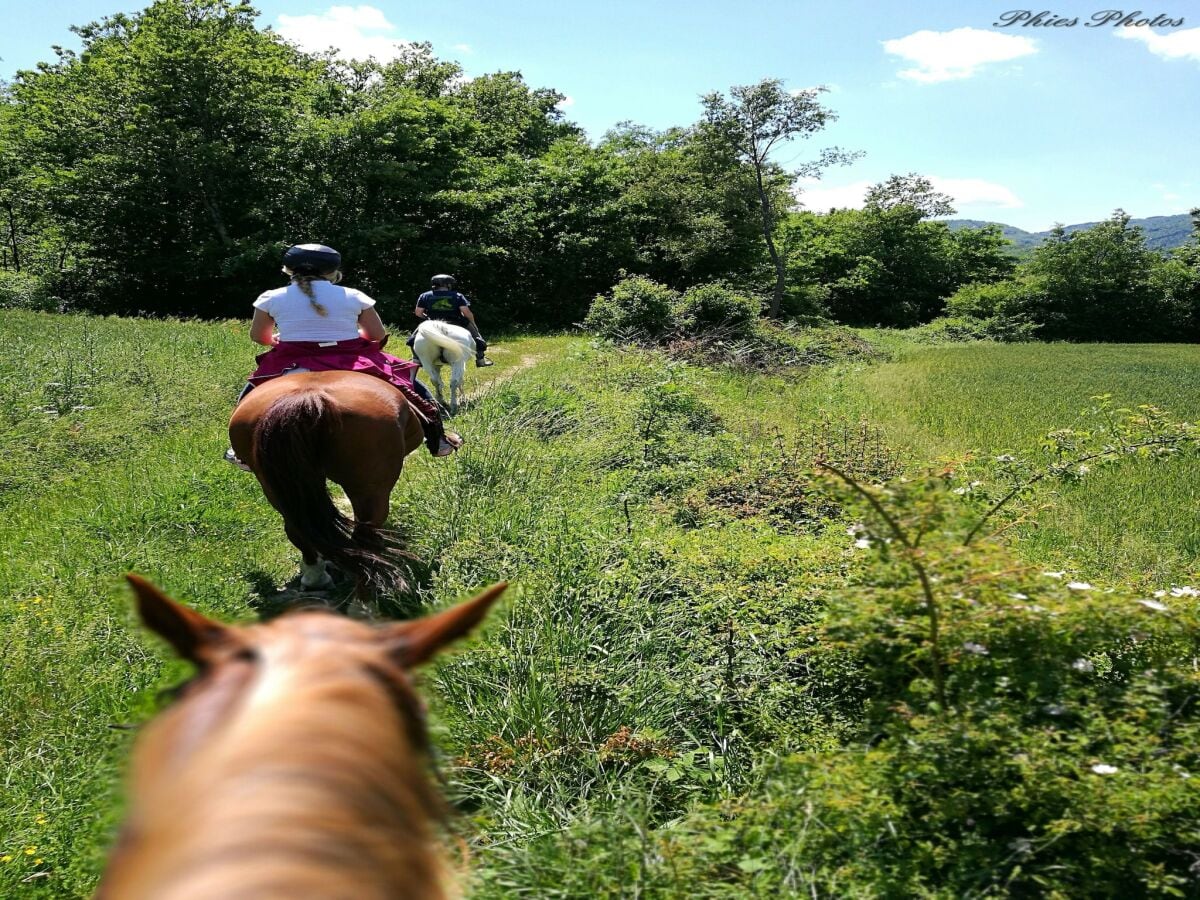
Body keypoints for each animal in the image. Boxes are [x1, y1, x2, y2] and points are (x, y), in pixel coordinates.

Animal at [229, 369, 427, 595]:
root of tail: (308, 398)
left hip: (275, 486)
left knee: (298, 529)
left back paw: (316, 578)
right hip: (371, 489)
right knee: (365, 533)